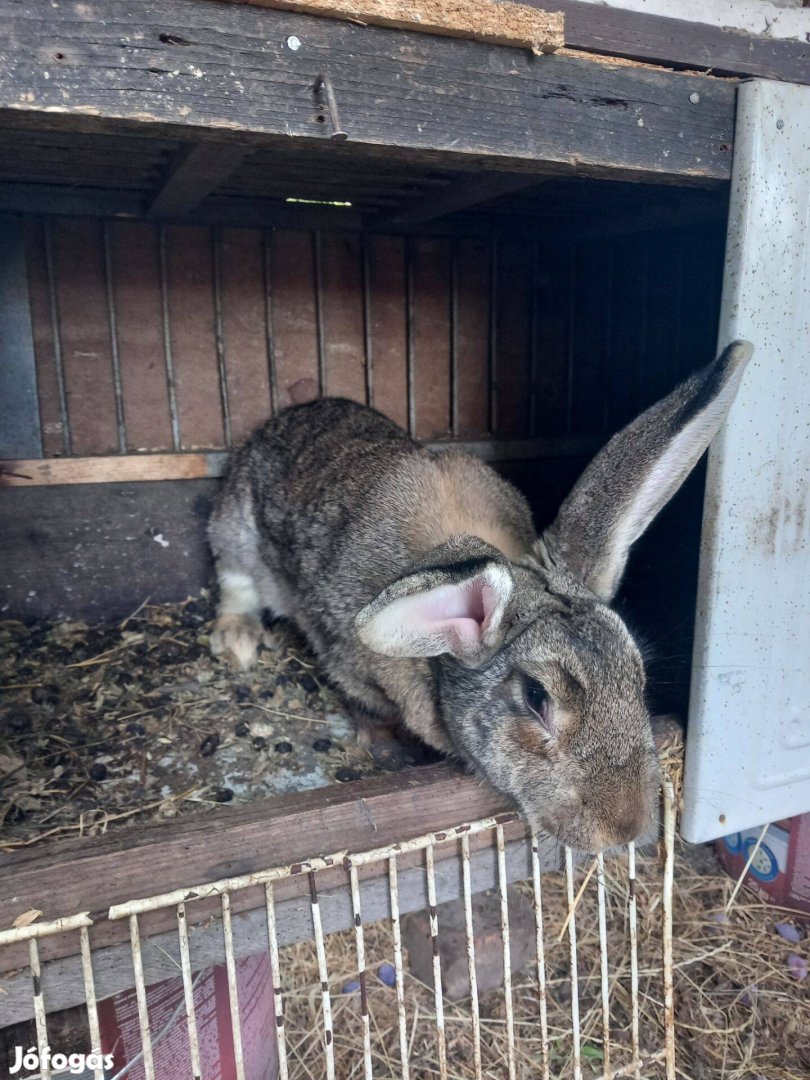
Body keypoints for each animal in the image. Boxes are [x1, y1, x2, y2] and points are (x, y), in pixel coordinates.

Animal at [209, 339, 756, 851]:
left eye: (636, 677)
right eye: (536, 698)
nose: (624, 830)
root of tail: (292, 413)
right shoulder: (346, 659)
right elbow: (368, 708)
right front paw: (392, 752)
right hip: (237, 530)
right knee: (235, 578)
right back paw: (238, 639)